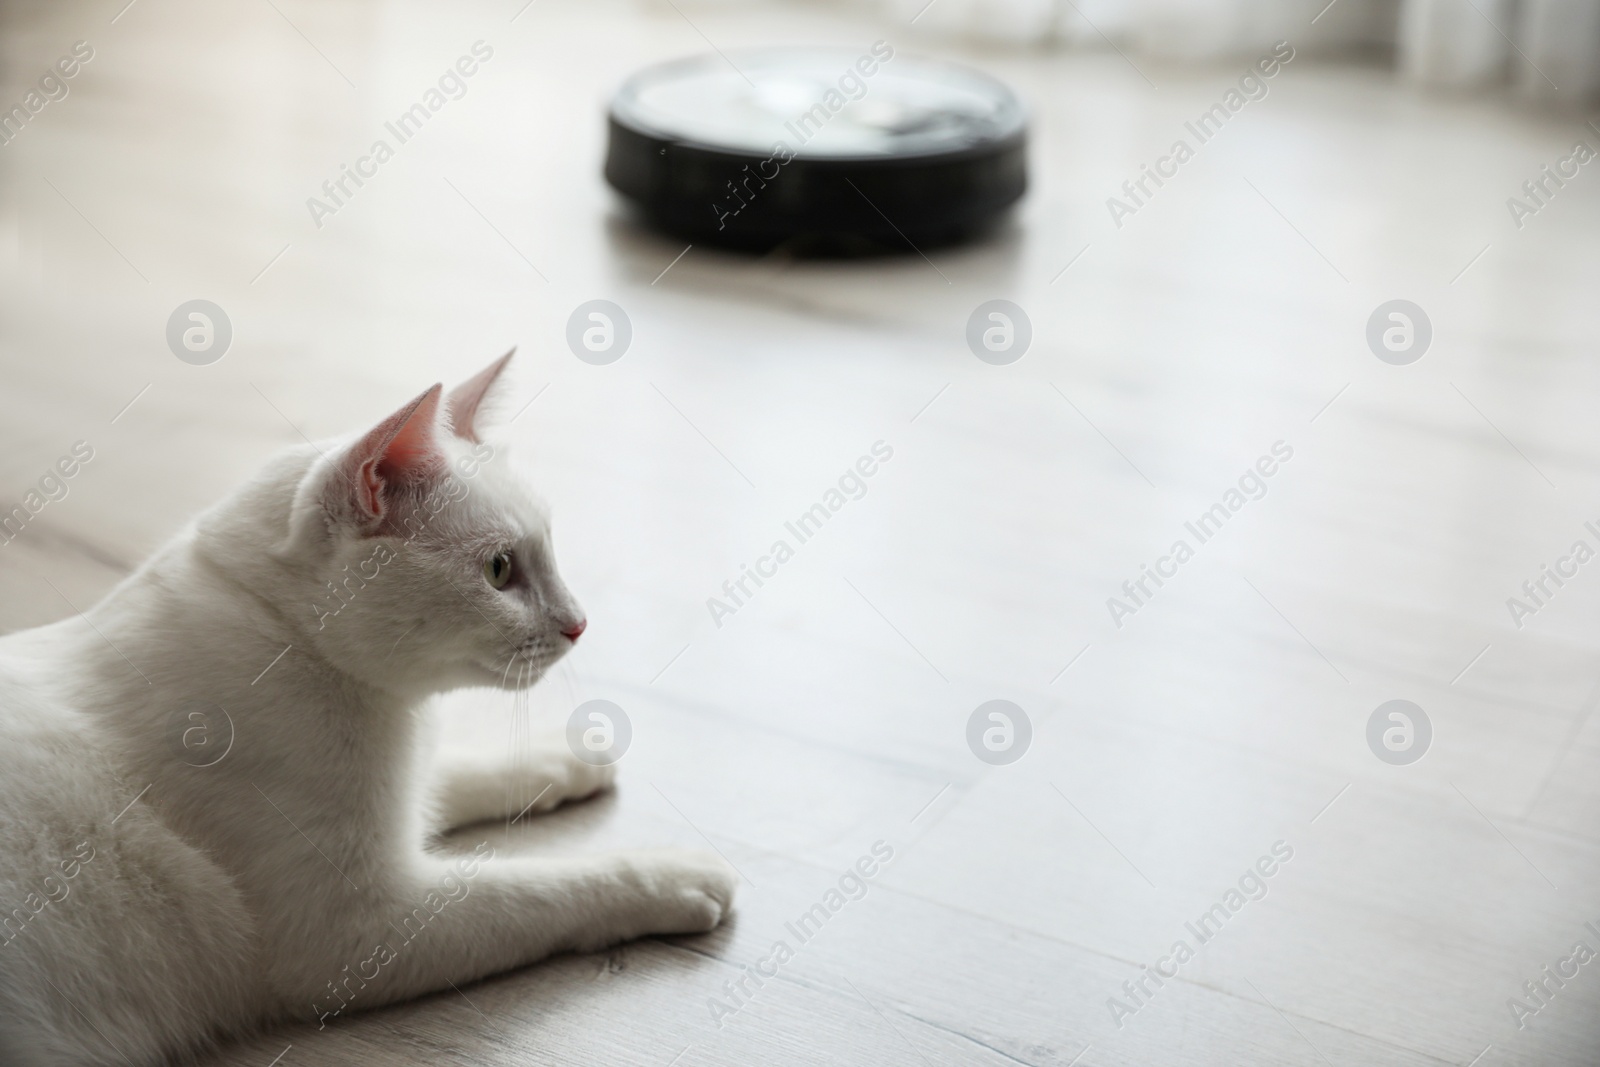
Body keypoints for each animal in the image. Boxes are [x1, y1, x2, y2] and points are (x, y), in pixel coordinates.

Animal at [0, 355, 736, 1062]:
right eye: (499, 570)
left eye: (550, 548)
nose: (580, 623)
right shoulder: (361, 932)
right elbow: (543, 886)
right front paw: (674, 874)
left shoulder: (405, 795)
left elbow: (465, 773)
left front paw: (572, 758)